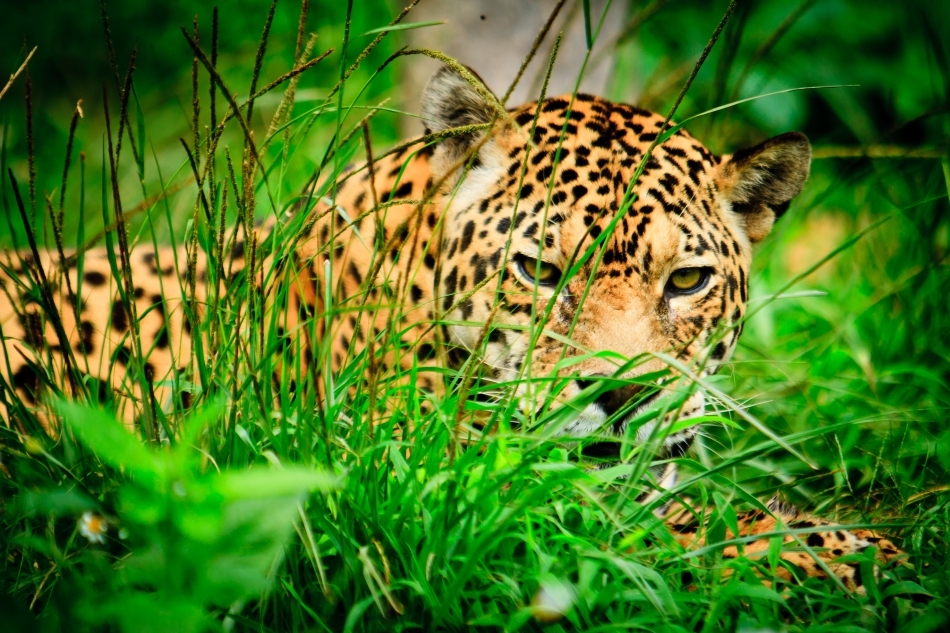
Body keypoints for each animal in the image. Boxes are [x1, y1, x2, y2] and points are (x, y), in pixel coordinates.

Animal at [0, 65, 902, 593]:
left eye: (686, 281)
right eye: (539, 271)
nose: (622, 397)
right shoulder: (483, 491)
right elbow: (727, 535)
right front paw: (870, 561)